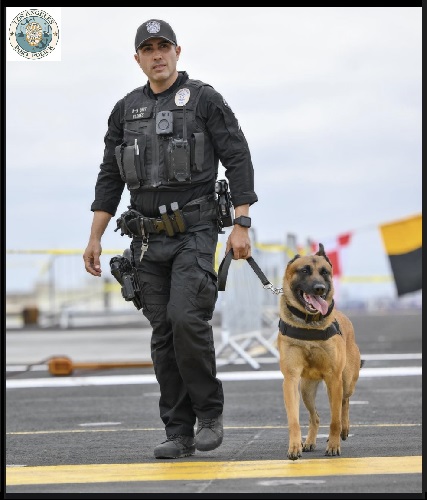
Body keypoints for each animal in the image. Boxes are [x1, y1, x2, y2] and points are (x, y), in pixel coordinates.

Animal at [278, 243, 364, 460]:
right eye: (304, 271)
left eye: (325, 272)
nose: (320, 288)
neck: (309, 323)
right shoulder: (291, 379)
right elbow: (294, 419)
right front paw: (295, 446)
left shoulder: (334, 378)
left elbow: (334, 420)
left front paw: (333, 445)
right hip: (306, 390)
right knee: (314, 417)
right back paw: (309, 441)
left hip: (346, 382)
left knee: (344, 403)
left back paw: (344, 429)